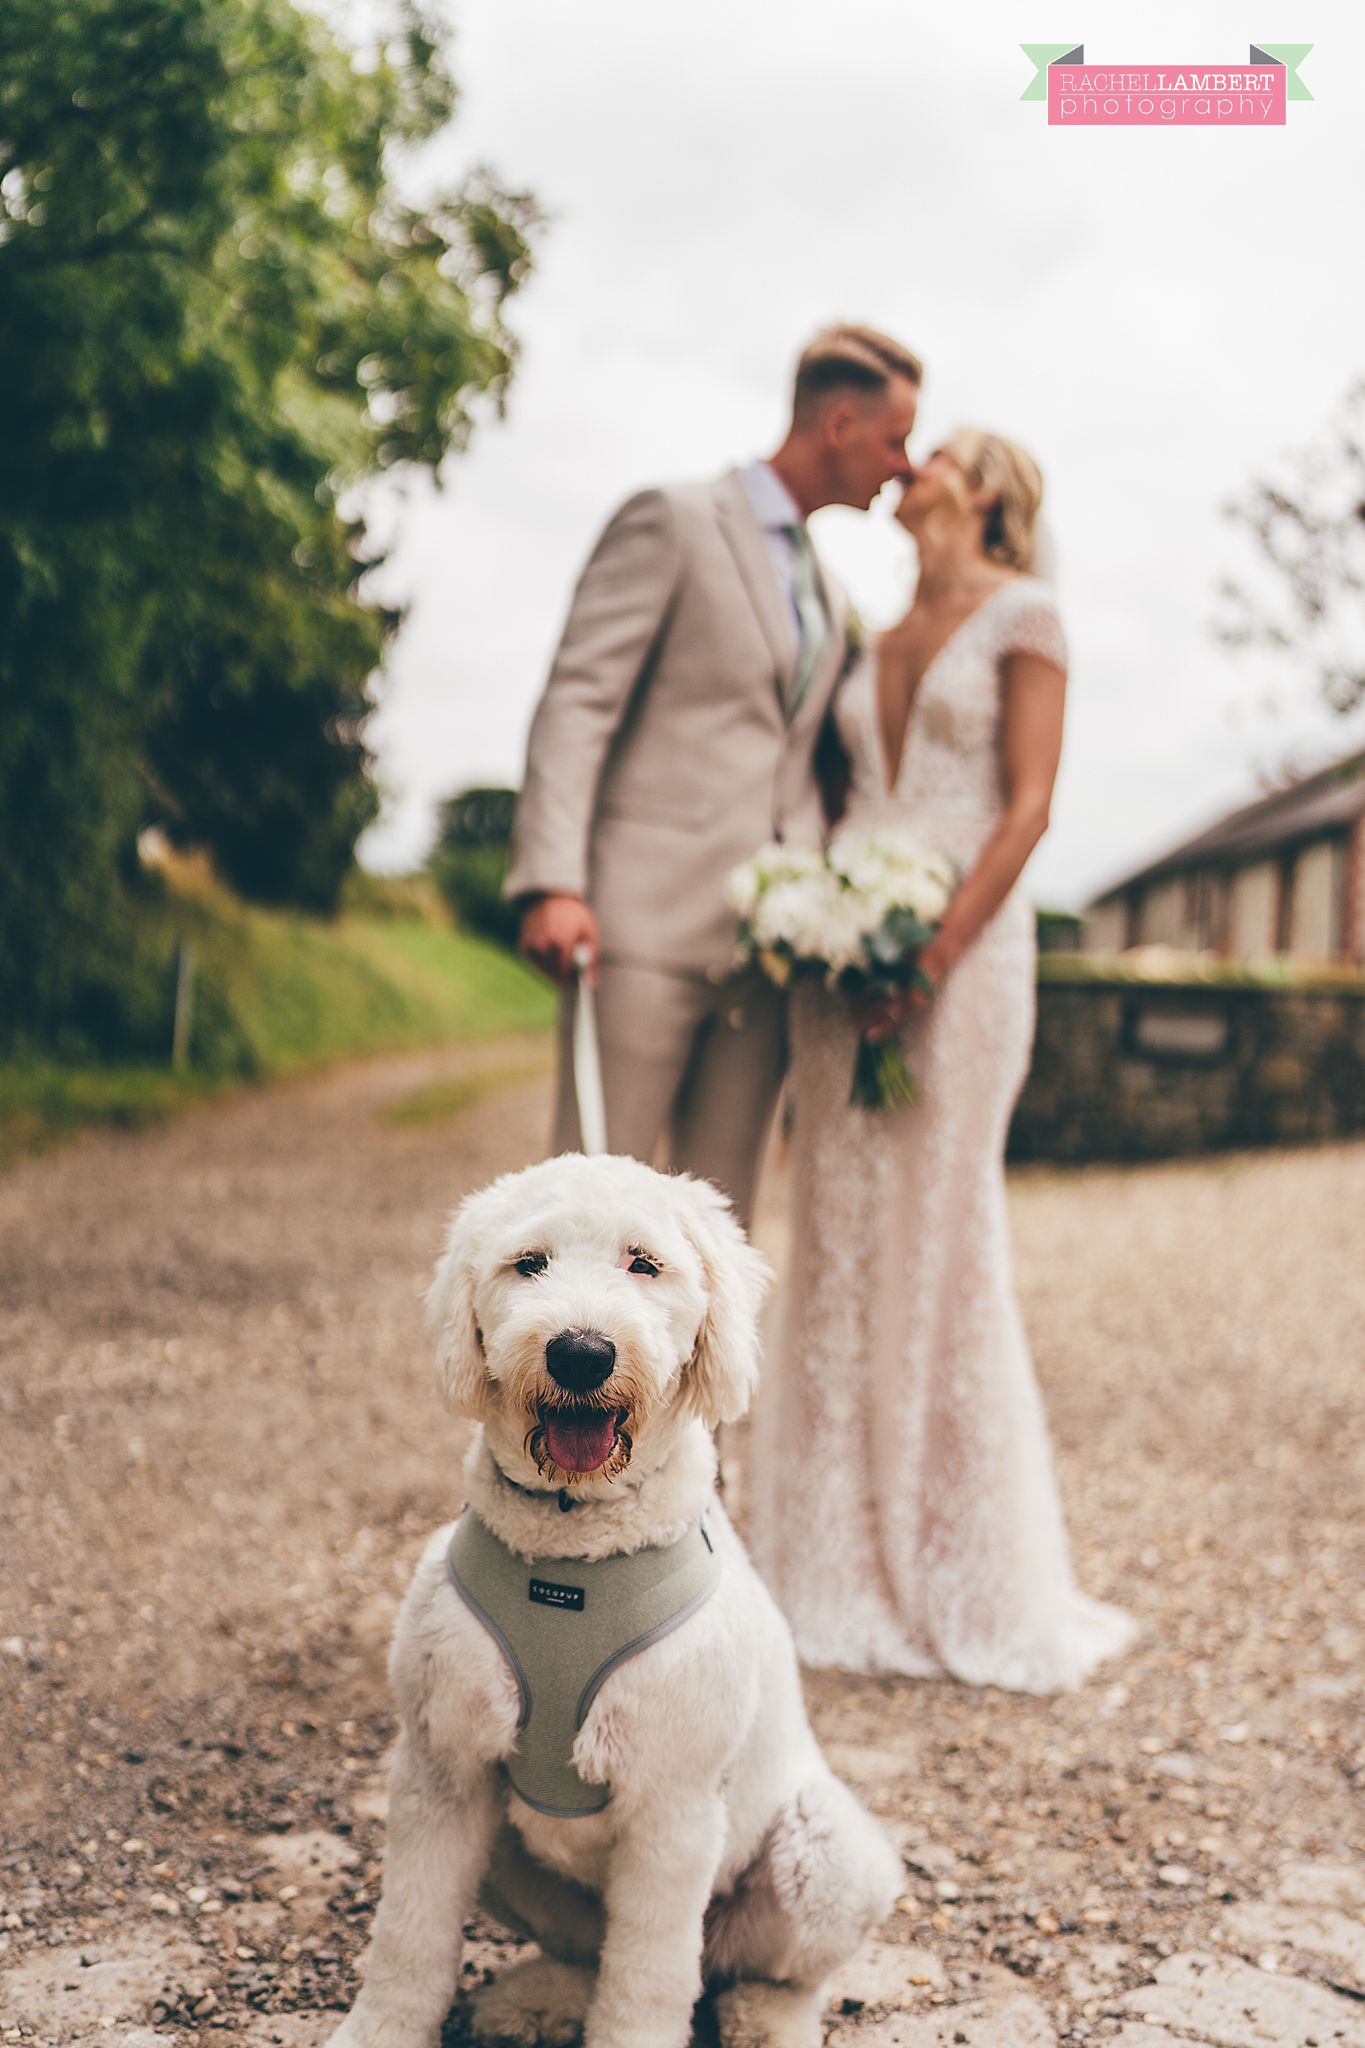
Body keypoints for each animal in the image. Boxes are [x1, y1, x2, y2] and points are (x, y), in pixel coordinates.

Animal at [327, 1155, 908, 2048]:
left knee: (760, 1973)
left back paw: (766, 2019)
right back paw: (536, 1998)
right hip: (505, 1854)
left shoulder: (671, 1806)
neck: (573, 1550)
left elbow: (646, 1976)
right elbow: (408, 1936)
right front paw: (380, 2031)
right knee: (586, 1952)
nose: (580, 1355)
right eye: (528, 1263)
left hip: (826, 1855)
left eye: (644, 1263)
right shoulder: (439, 1773)